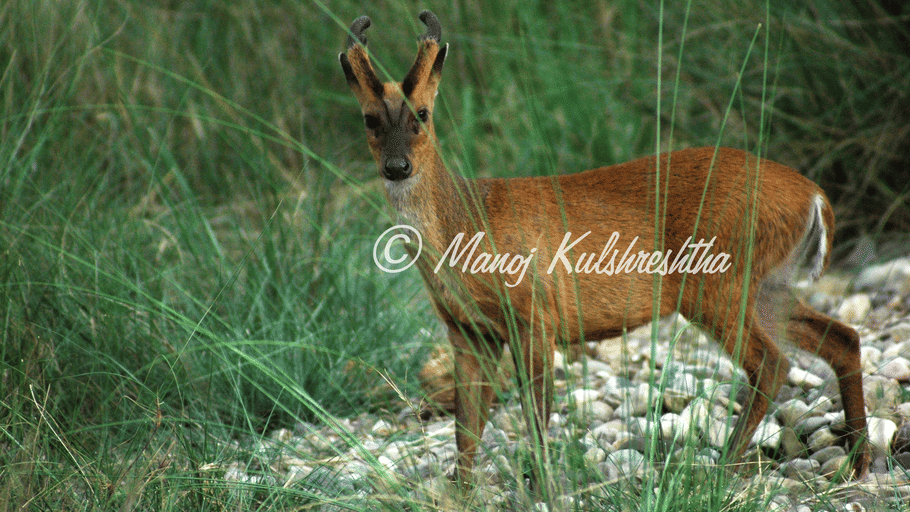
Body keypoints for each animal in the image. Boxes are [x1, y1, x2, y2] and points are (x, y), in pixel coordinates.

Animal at [339, 11, 870, 487]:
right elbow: (466, 430)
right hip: (765, 285)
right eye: (369, 120)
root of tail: (814, 196)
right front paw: (463, 493)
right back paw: (857, 462)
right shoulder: (467, 331)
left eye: (423, 115)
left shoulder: (536, 312)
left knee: (772, 363)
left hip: (716, 279)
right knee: (840, 337)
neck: (465, 225)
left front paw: (544, 489)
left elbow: (535, 419)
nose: (397, 167)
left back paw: (722, 471)